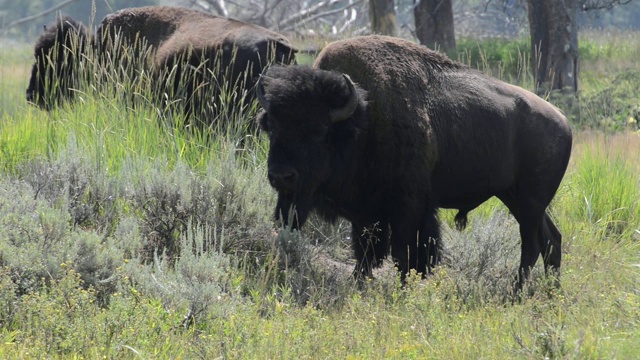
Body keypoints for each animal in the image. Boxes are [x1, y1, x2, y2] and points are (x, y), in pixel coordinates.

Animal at [258, 35, 572, 292]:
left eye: (320, 129)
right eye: (271, 126)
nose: (281, 176)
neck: (362, 119)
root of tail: (563, 121)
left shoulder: (408, 206)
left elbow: (406, 253)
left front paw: (402, 289)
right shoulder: (365, 211)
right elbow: (365, 253)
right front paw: (359, 284)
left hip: (529, 201)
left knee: (532, 244)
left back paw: (516, 293)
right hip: (514, 197)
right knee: (551, 240)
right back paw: (550, 292)